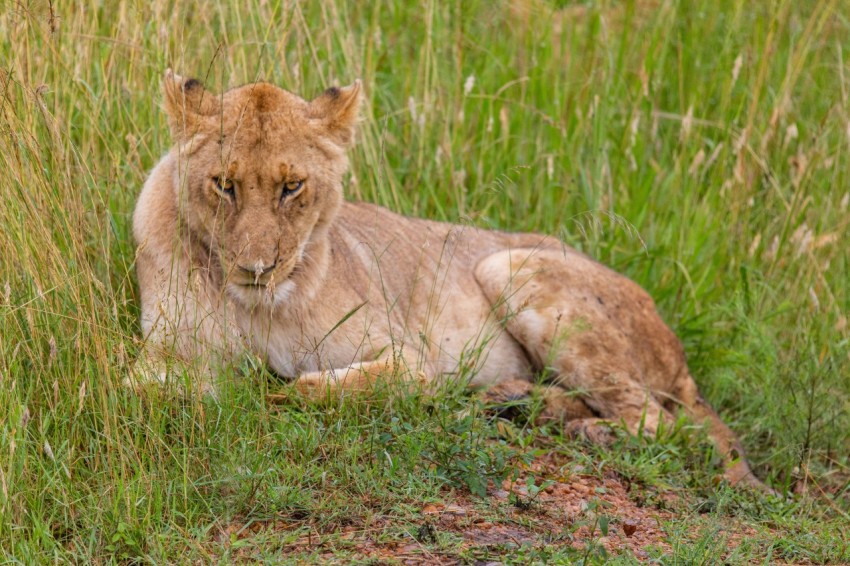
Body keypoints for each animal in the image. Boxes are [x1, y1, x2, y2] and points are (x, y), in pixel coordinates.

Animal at [132, 70, 764, 489]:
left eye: (292, 187)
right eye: (224, 184)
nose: (256, 267)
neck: (258, 305)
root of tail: (678, 351)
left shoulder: (408, 357)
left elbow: (317, 389)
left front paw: (269, 387)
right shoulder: (159, 353)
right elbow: (152, 388)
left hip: (510, 265)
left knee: (664, 424)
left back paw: (569, 427)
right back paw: (516, 404)